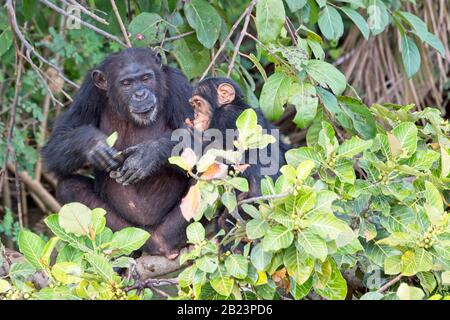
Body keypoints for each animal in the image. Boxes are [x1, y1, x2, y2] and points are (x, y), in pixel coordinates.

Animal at [42, 47, 195, 258]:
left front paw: (148, 156)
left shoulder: (179, 85)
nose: (140, 94)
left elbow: (211, 136)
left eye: (146, 78)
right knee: (68, 186)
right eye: (126, 83)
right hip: (124, 228)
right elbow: (57, 141)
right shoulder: (89, 91)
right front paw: (93, 145)